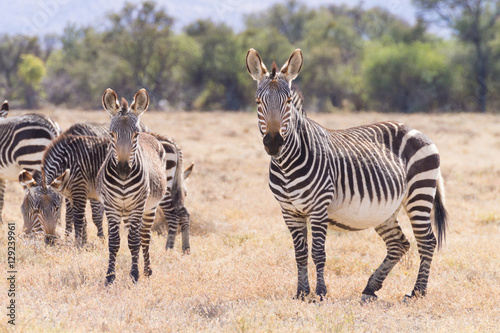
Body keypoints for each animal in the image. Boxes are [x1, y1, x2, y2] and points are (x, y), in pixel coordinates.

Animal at [96, 88, 169, 282]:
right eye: (111, 134)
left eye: (134, 135)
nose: (122, 170)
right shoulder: (111, 207)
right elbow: (114, 242)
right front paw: (110, 277)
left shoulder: (138, 206)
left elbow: (135, 242)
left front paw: (135, 274)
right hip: (127, 211)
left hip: (148, 208)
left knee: (144, 237)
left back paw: (147, 270)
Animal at [246, 48, 450, 300]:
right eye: (258, 102)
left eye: (288, 101)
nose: (274, 143)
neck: (287, 165)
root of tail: (415, 129)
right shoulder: (289, 211)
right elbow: (300, 253)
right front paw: (301, 293)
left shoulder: (319, 207)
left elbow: (318, 252)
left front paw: (320, 293)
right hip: (385, 210)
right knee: (399, 244)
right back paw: (371, 288)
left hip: (419, 193)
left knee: (427, 241)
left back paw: (417, 292)